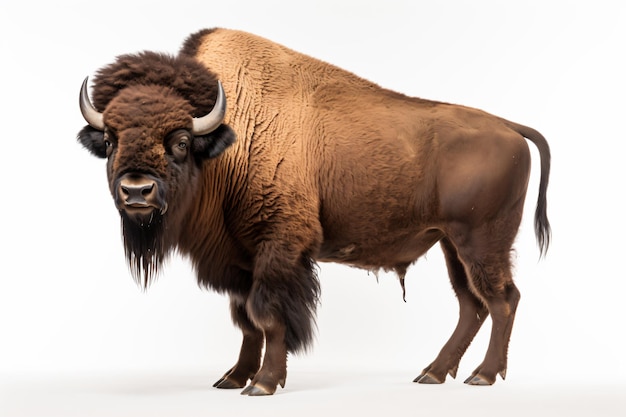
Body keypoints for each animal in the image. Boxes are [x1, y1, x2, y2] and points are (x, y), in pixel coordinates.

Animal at [77, 28, 544, 394]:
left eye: (179, 141)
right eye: (111, 140)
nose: (137, 191)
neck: (230, 141)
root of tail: (509, 127)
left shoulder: (279, 247)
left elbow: (268, 316)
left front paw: (264, 383)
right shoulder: (240, 259)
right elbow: (245, 319)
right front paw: (233, 378)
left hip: (481, 241)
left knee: (502, 299)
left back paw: (483, 376)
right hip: (451, 244)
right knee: (472, 304)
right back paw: (433, 373)